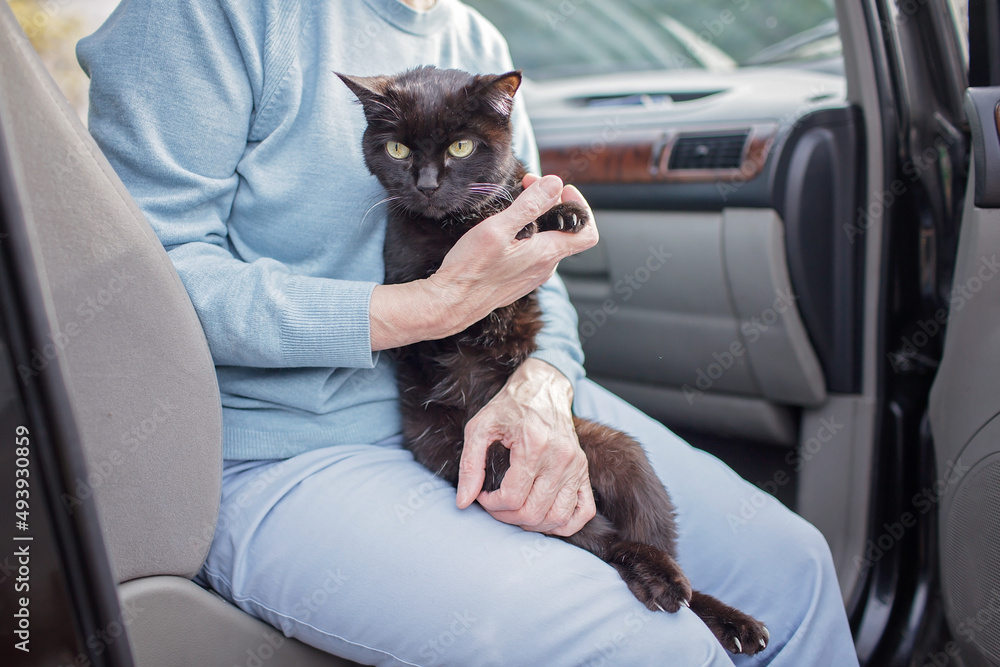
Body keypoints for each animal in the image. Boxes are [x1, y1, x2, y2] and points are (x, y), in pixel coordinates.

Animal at [340, 68, 768, 656]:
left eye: (460, 147)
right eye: (398, 150)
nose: (425, 184)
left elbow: (529, 194)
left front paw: (558, 213)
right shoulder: (409, 278)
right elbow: (446, 275)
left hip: (624, 458)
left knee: (643, 540)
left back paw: (716, 613)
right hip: (480, 462)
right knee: (605, 543)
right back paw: (664, 587)